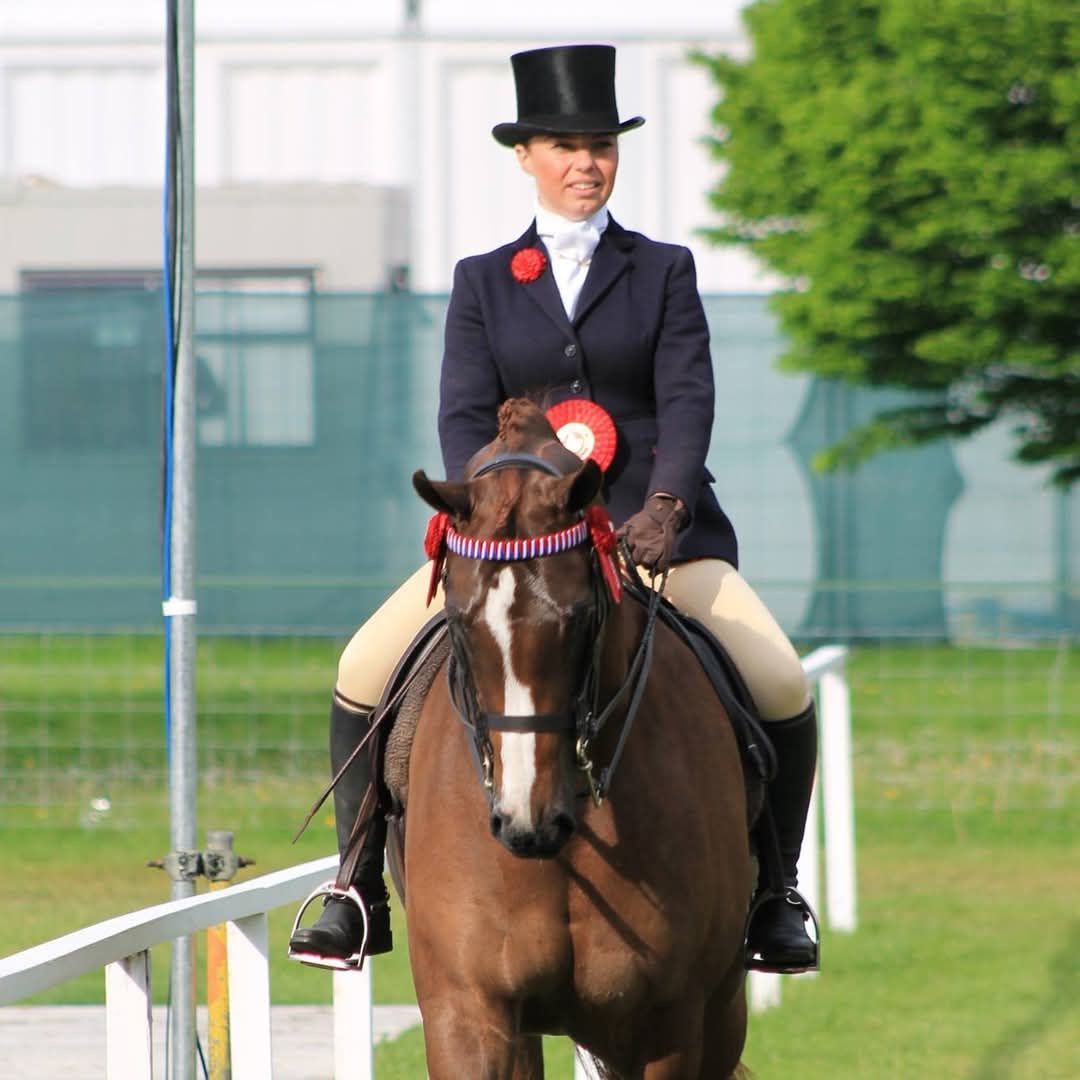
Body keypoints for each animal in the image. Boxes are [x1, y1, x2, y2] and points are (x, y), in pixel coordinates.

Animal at [406, 403, 751, 1080]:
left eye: (582, 617)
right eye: (458, 620)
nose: (526, 823)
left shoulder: (667, 1025)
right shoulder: (467, 1009)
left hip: (720, 1015)